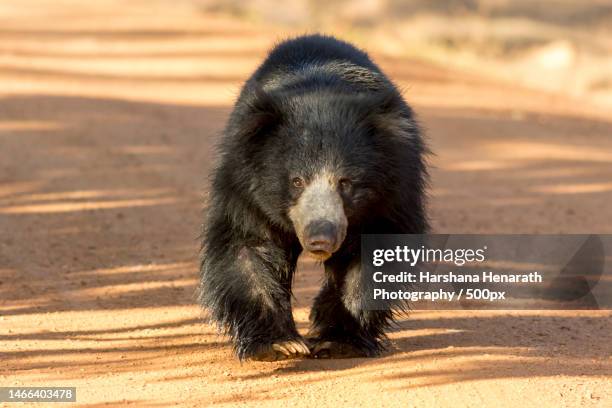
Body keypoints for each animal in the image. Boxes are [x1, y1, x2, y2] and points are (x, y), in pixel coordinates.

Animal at [198, 34, 428, 360]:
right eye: (297, 181)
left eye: (346, 183)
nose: (321, 238)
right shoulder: (243, 187)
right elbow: (246, 246)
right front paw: (280, 344)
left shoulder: (394, 192)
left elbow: (377, 255)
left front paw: (337, 340)